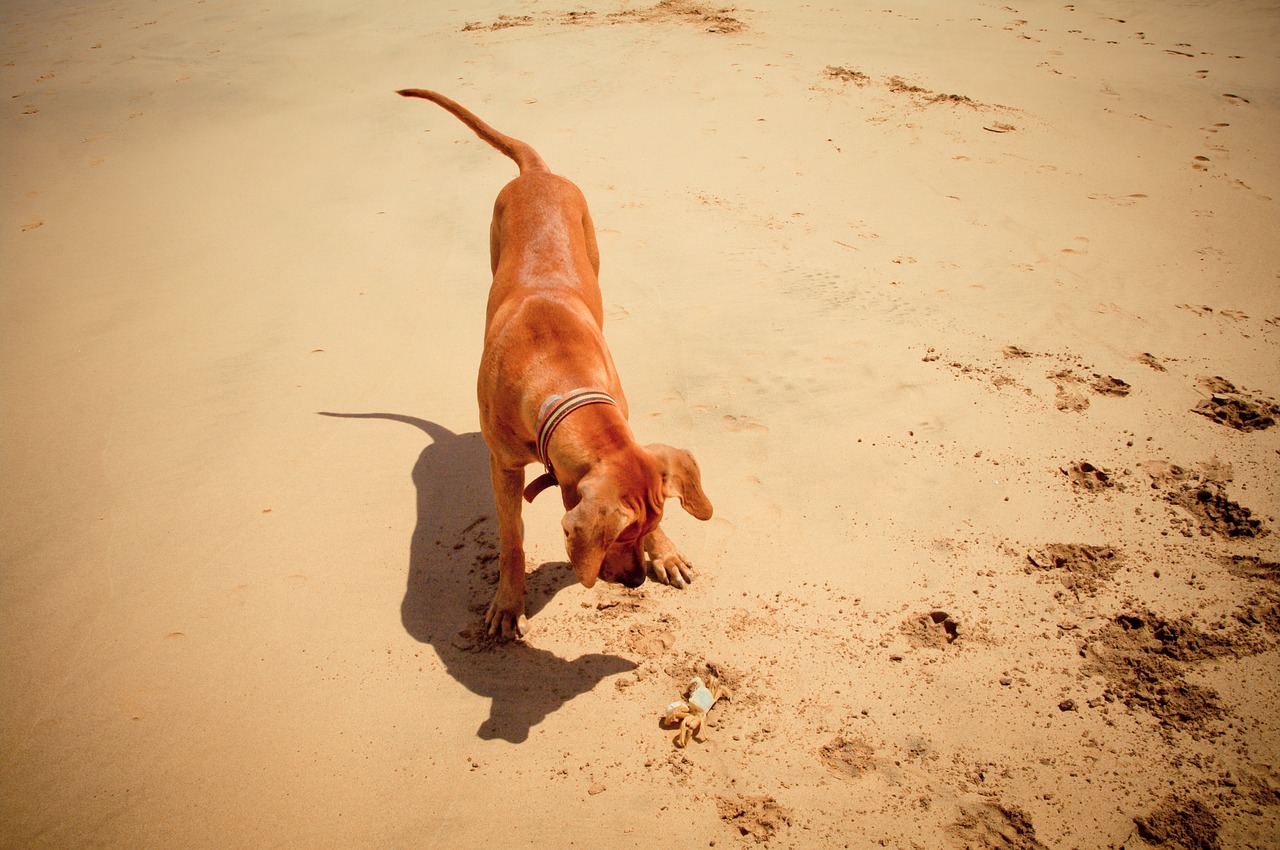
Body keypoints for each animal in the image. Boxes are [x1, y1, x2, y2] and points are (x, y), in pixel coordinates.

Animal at [396, 91, 711, 637]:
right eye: (617, 537)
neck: (561, 376)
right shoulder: (502, 466)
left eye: (647, 527)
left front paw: (666, 552)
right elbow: (512, 540)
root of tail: (537, 174)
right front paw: (508, 601)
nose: (635, 582)